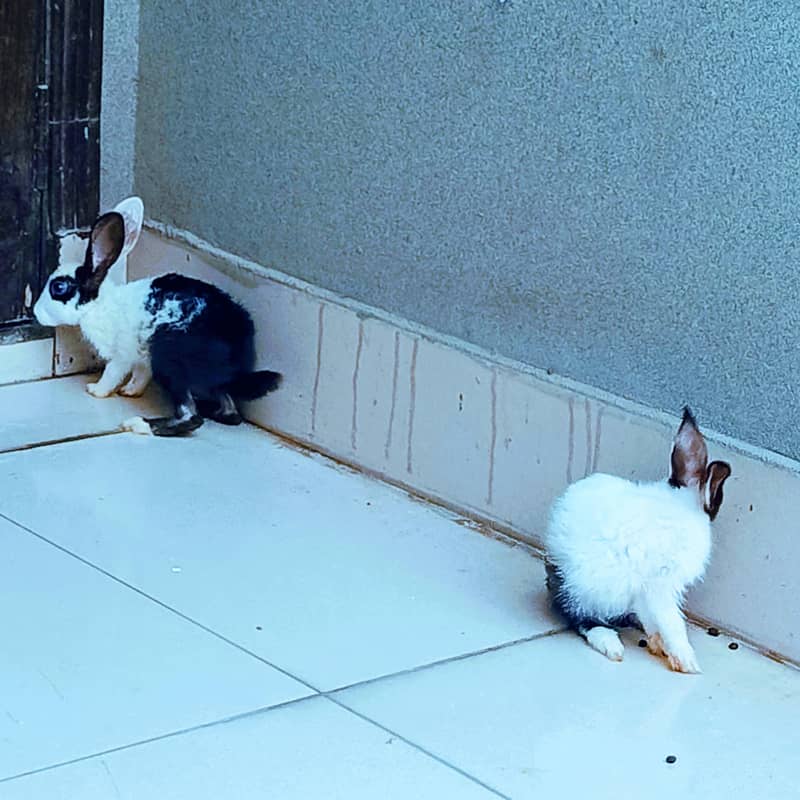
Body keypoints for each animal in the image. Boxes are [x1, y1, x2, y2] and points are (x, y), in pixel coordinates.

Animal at [33, 196, 282, 436]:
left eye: (59, 287)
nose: (35, 312)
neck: (99, 305)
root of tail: (239, 358)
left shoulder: (122, 355)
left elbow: (112, 373)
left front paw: (96, 390)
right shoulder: (142, 359)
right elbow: (140, 375)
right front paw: (130, 391)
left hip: (169, 358)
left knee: (191, 417)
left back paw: (139, 424)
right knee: (230, 412)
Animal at [543, 407, 731, 673]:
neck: (684, 508)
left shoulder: (644, 592)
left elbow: (652, 619)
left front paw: (658, 644)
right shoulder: (660, 585)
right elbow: (672, 623)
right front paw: (688, 662)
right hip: (584, 589)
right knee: (580, 618)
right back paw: (612, 646)